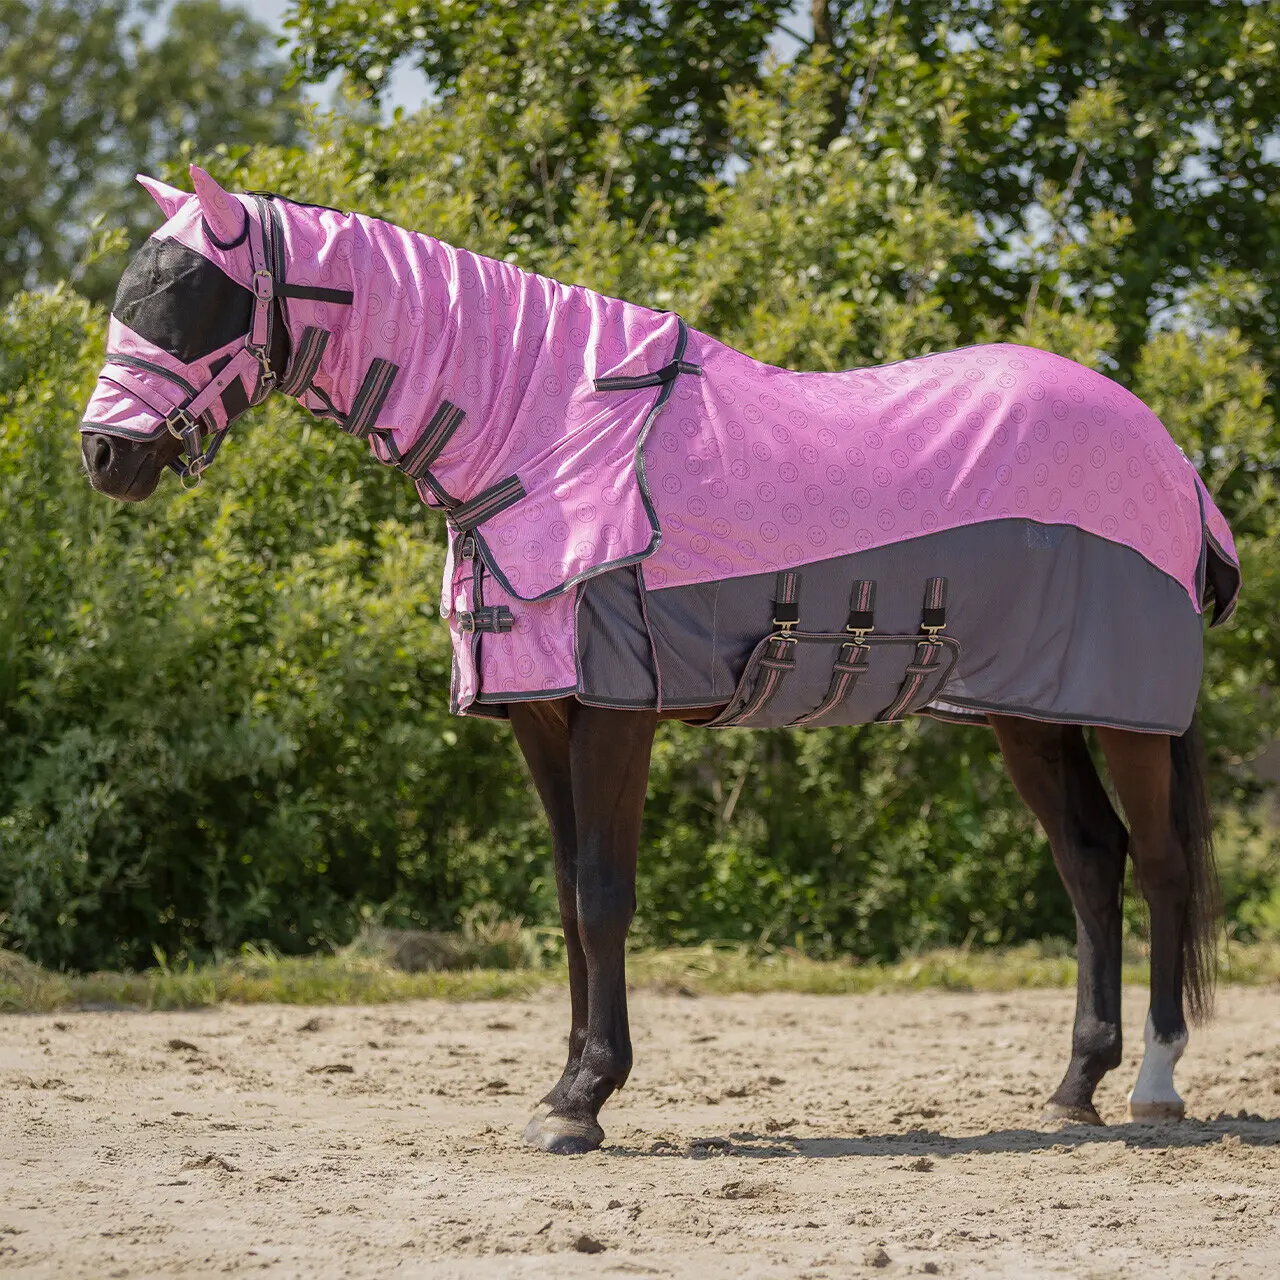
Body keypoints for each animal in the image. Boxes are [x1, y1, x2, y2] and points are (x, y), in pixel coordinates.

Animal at [80, 165, 1238, 1155]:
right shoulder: (541, 715)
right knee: (1090, 861)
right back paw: (1073, 1087)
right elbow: (564, 898)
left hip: (1129, 716)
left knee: (1159, 865)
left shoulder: (613, 712)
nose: (104, 456)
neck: (550, 434)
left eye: (190, 302)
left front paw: (583, 1100)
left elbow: (603, 893)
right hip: (1023, 713)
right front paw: (559, 1087)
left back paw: (1153, 1085)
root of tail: (1173, 463)